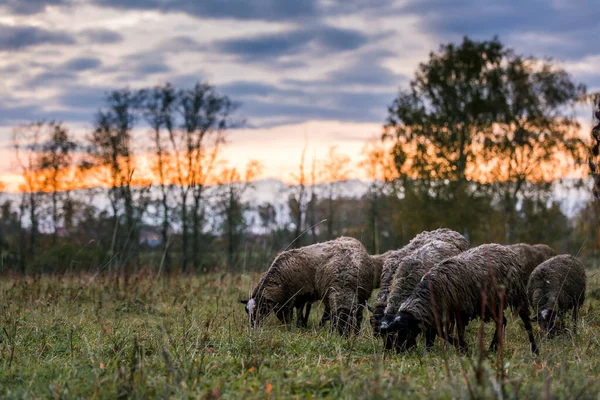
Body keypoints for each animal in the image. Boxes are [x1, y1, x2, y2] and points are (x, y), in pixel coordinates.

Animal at [241, 238, 372, 334]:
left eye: (260, 308)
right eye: (247, 311)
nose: (253, 326)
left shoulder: (299, 294)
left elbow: (295, 314)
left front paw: (295, 327)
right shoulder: (287, 300)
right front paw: (299, 325)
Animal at [380, 244, 540, 354]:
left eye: (403, 332)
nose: (397, 353)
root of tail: (505, 248)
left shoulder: (460, 310)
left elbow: (456, 333)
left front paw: (463, 349)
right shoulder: (443, 314)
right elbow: (444, 333)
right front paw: (461, 348)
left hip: (517, 294)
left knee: (526, 323)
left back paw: (534, 350)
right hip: (492, 302)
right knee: (502, 321)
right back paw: (492, 348)